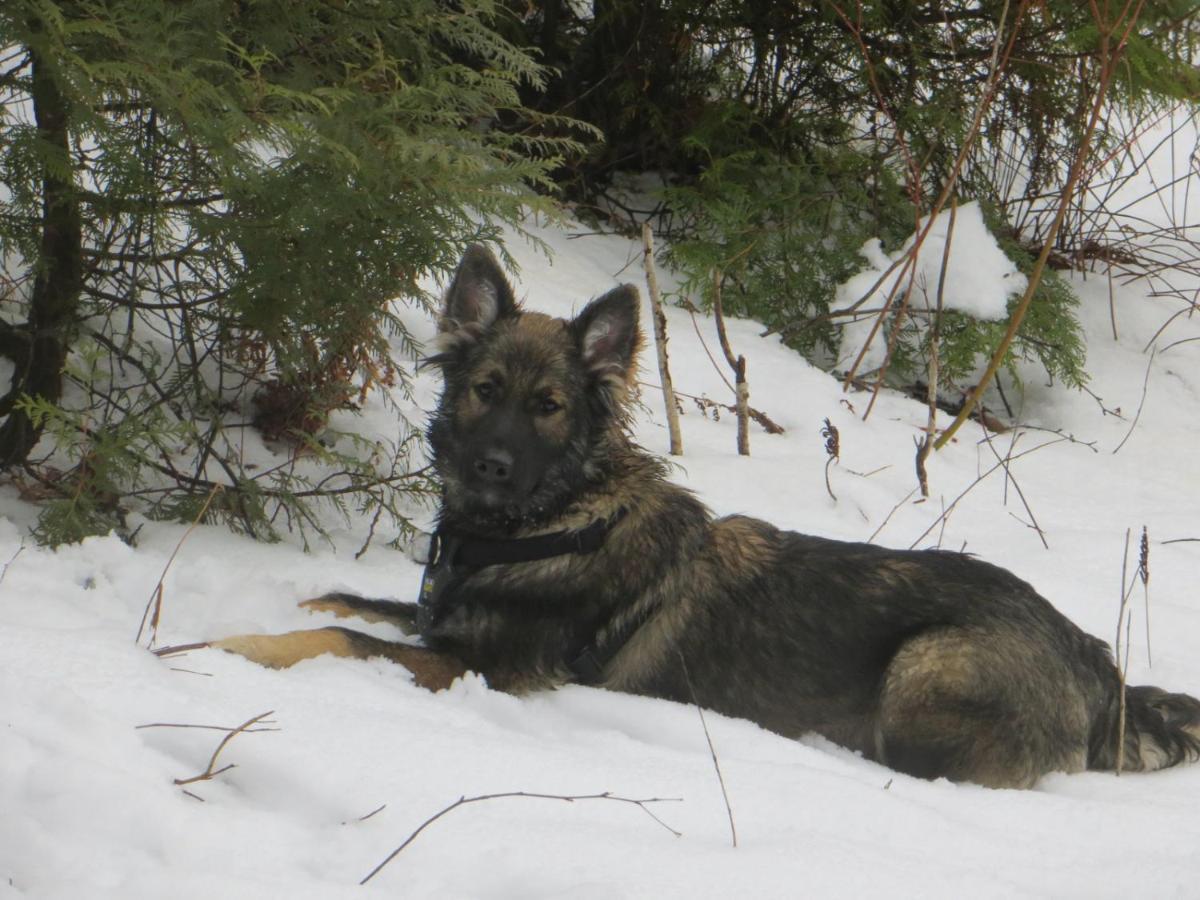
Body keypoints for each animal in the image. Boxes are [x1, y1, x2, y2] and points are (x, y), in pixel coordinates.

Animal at [213, 244, 1200, 787]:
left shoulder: (481, 666)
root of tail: (1097, 662)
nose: (487, 464)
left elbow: (341, 640)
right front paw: (293, 601)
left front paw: (228, 648)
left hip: (924, 668)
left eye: (549, 407)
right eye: (485, 389)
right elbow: (356, 606)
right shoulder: (439, 617)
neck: (545, 520)